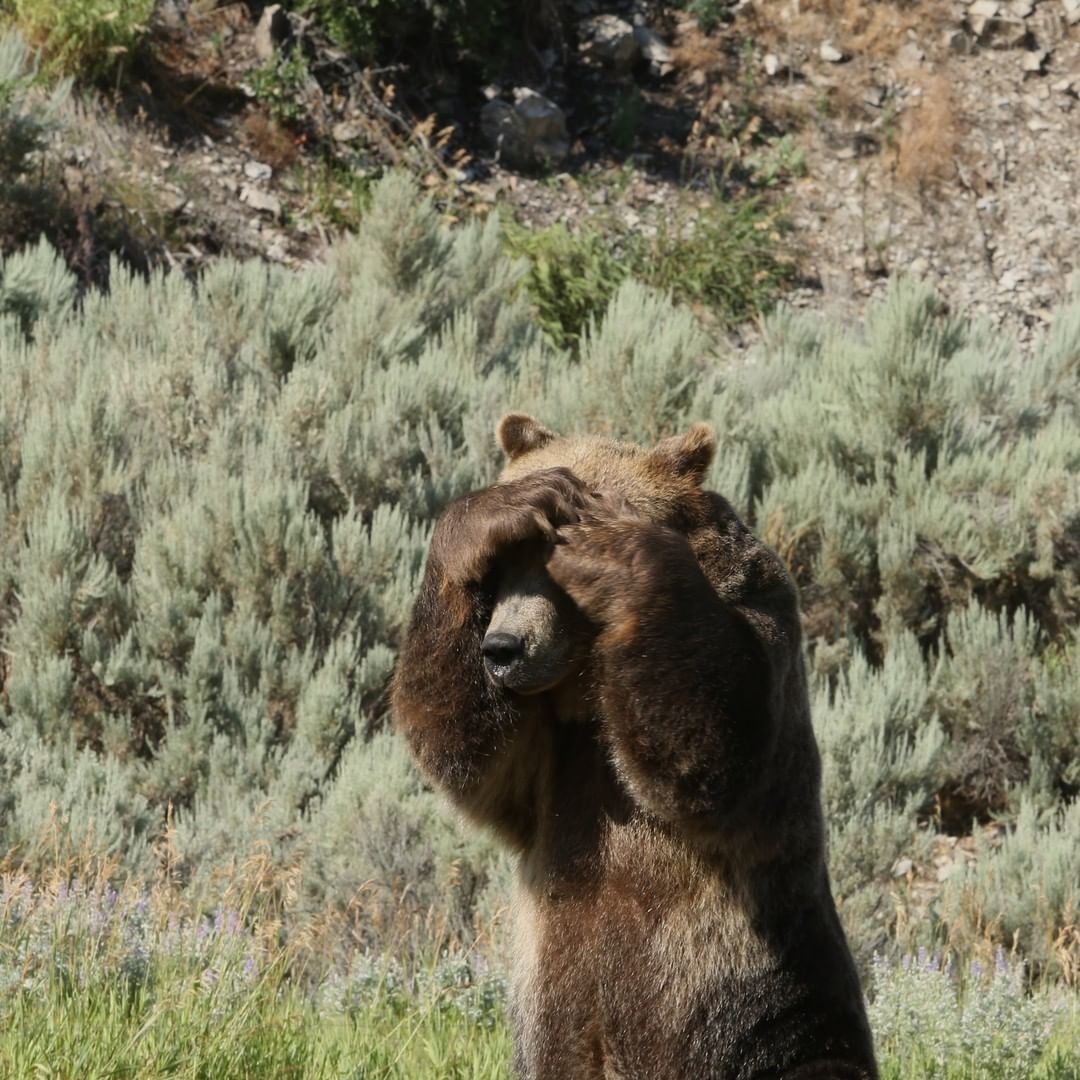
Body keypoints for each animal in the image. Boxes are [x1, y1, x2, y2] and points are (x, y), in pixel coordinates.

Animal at [393, 414, 881, 1080]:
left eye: (552, 566)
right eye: (502, 569)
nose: (503, 649)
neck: (586, 688)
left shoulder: (760, 617)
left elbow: (722, 743)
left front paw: (606, 540)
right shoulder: (550, 760)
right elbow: (464, 746)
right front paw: (498, 512)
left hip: (771, 1011)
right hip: (559, 1033)